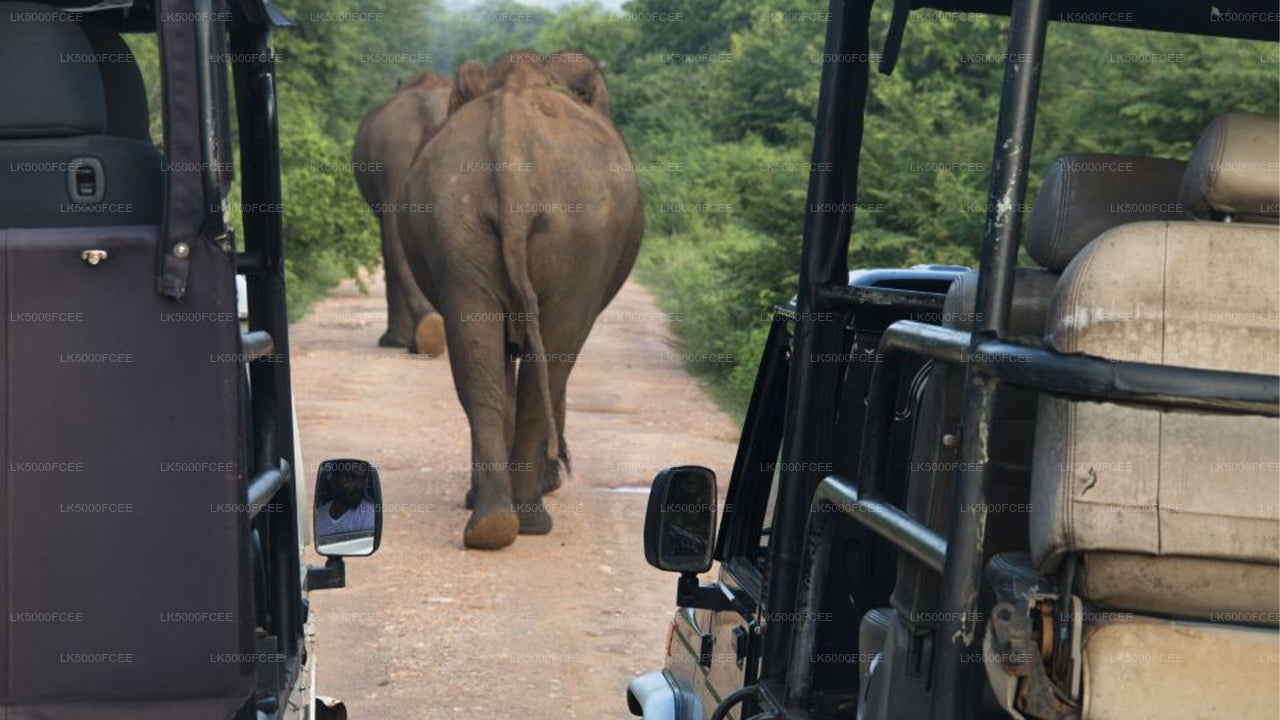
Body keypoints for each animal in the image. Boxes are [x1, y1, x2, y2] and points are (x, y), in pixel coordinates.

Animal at [396, 47, 640, 545]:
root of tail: (509, 139)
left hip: (458, 220)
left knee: (480, 366)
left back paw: (491, 523)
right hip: (579, 238)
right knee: (553, 359)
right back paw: (529, 517)